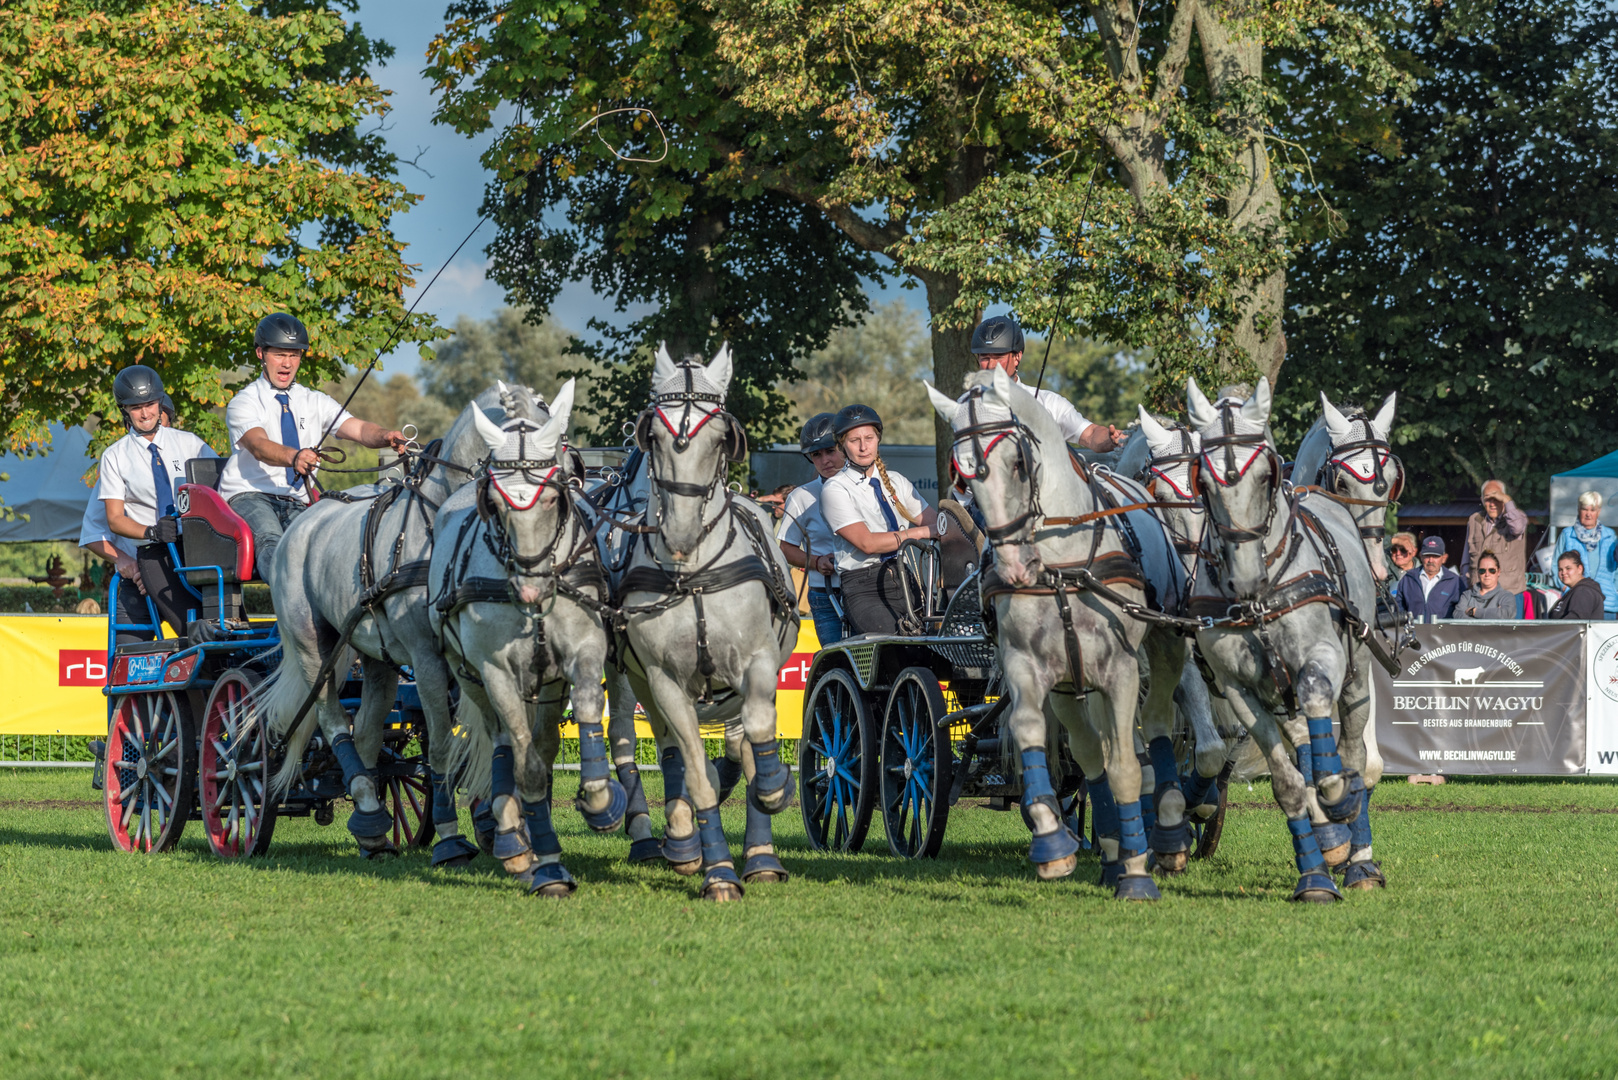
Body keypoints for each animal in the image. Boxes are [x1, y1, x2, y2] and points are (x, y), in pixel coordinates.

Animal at [258, 386, 543, 861]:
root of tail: (304, 521)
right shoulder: (428, 659)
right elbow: (444, 744)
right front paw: (452, 836)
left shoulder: (478, 658)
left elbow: (490, 736)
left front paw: (498, 822)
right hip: (311, 645)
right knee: (334, 721)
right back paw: (368, 813)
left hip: (376, 655)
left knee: (368, 731)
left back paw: (369, 823)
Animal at [430, 383, 624, 900]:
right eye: (495, 505)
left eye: (555, 497)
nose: (532, 588)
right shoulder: (496, 672)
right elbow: (527, 765)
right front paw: (544, 864)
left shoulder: (581, 656)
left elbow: (586, 715)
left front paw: (601, 800)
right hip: (471, 677)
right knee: (505, 745)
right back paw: (514, 841)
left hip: (546, 685)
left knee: (541, 742)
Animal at [614, 346, 799, 906]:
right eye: (653, 436)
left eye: (721, 438)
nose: (679, 532)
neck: (692, 573)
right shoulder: (662, 680)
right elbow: (694, 771)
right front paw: (716, 870)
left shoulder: (758, 662)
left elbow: (760, 734)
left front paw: (776, 787)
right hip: (639, 681)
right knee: (671, 748)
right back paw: (681, 840)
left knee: (744, 741)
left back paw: (762, 855)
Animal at [931, 367, 1184, 900]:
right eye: (963, 474)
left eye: (1018, 462)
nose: (1013, 566)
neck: (1062, 563)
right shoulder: (1028, 666)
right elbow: (1034, 734)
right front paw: (1053, 842)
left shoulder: (1121, 670)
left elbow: (1128, 765)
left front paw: (1137, 876)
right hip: (1070, 684)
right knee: (1089, 752)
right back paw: (1110, 852)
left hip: (1162, 652)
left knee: (1153, 727)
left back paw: (1167, 837)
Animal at [1184, 375, 1385, 900]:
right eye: (1202, 481)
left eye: (1264, 476)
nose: (1245, 579)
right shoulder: (1238, 689)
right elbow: (1288, 783)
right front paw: (1314, 876)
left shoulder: (1325, 659)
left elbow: (1334, 752)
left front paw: (1339, 804)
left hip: (1356, 675)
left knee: (1353, 752)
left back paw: (1359, 859)